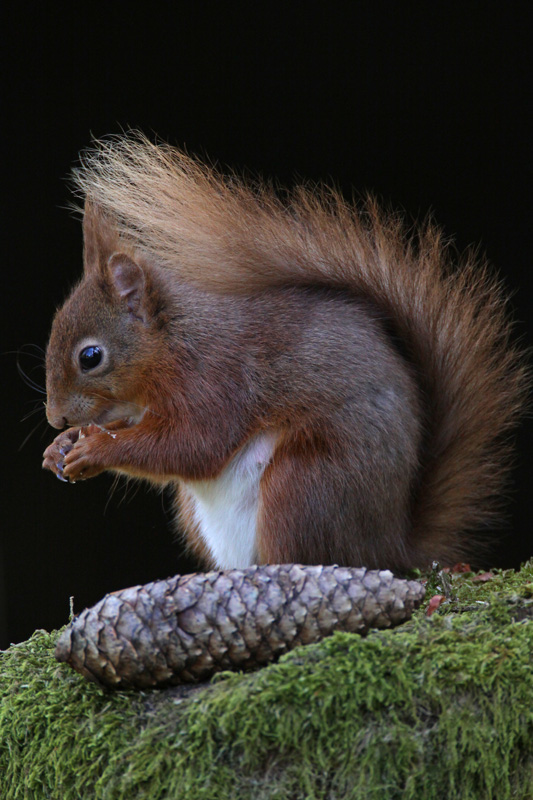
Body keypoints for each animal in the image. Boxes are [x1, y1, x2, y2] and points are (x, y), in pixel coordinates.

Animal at [42, 136, 528, 576]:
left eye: (90, 356)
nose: (55, 418)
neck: (173, 342)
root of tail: (390, 547)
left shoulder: (215, 379)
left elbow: (191, 446)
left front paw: (97, 449)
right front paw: (59, 448)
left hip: (302, 487)